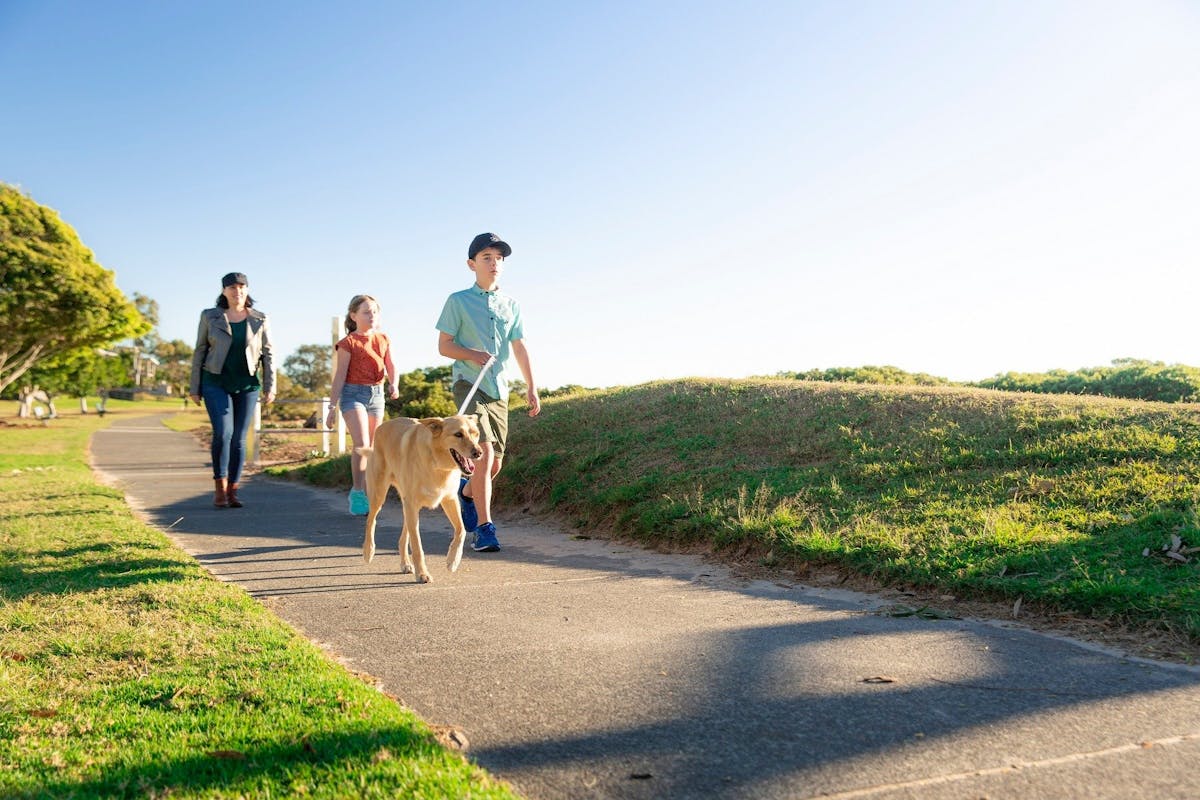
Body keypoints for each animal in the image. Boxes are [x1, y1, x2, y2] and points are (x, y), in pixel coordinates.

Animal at [355, 419, 482, 582]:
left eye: (475, 433)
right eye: (458, 434)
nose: (478, 452)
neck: (437, 463)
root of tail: (382, 426)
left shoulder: (449, 500)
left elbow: (461, 530)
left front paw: (453, 560)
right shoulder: (412, 505)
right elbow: (417, 546)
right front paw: (422, 573)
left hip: (408, 506)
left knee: (403, 536)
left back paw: (405, 563)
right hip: (380, 494)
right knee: (371, 520)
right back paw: (368, 550)